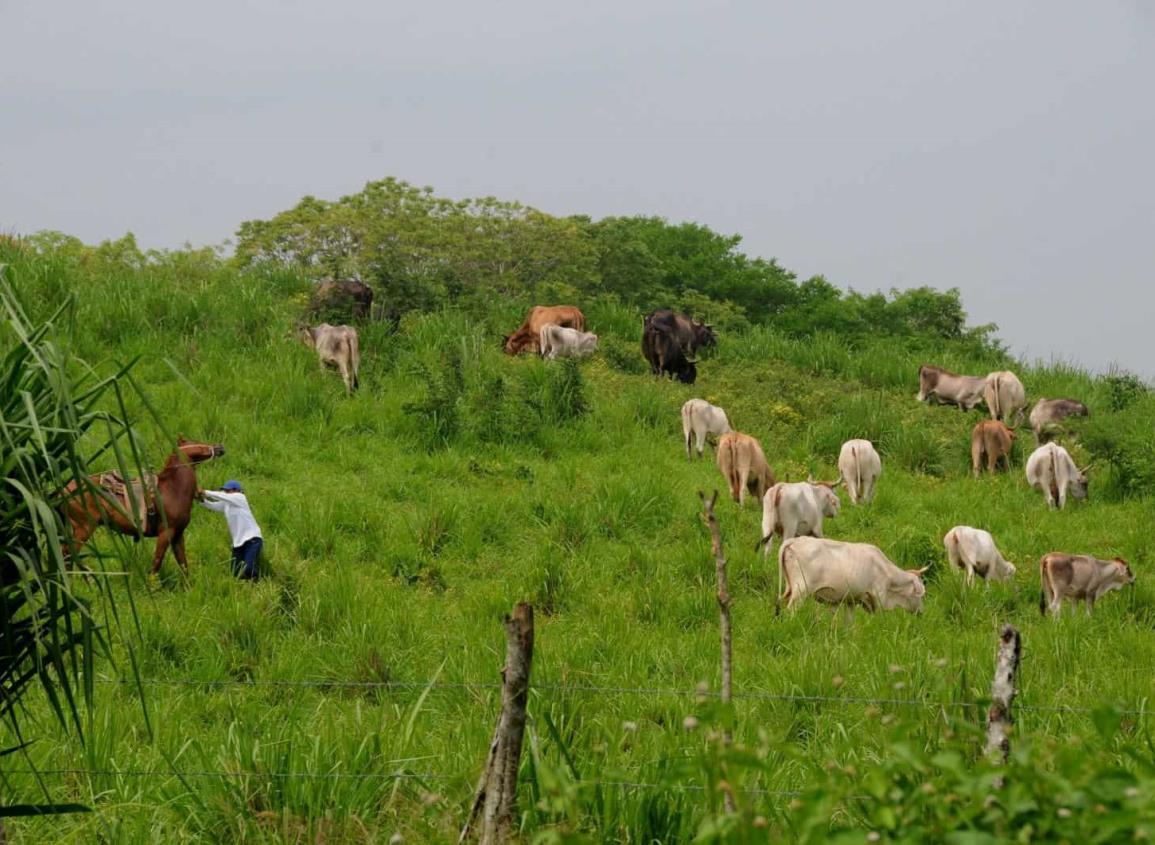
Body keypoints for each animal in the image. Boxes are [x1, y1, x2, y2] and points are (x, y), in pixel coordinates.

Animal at [63, 436, 225, 574]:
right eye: (197, 443)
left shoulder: (178, 535)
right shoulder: (166, 533)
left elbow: (183, 565)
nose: (220, 447)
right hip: (84, 528)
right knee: (67, 555)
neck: (173, 489)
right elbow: (157, 563)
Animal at [776, 540, 928, 614]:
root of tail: (794, 540)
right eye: (920, 595)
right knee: (791, 610)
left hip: (790, 589)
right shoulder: (878, 598)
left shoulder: (851, 600)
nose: (921, 612)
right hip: (800, 591)